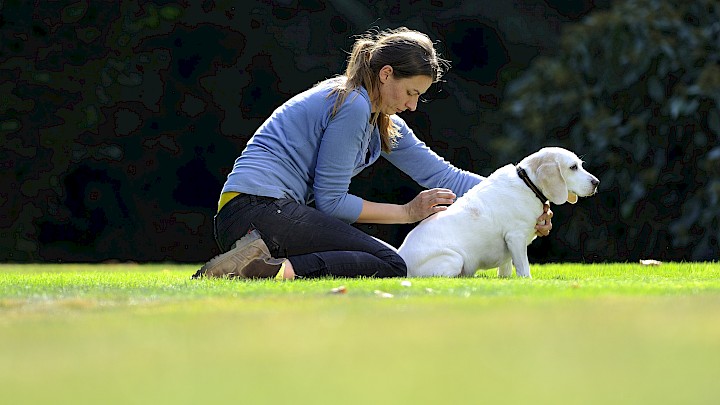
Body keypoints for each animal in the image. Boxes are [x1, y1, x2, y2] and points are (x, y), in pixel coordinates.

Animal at [396, 146, 600, 278]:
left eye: (580, 165)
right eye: (573, 167)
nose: (596, 182)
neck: (527, 184)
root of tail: (402, 258)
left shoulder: (509, 247)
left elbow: (506, 270)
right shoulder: (515, 238)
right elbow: (524, 268)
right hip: (454, 259)